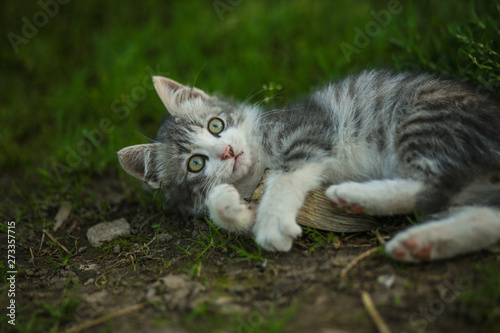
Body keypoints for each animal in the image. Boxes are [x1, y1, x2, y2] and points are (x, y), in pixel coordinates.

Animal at [118, 70, 500, 262]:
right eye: (196, 163)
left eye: (216, 125)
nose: (228, 152)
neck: (257, 164)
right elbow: (221, 206)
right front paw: (234, 208)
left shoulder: (308, 130)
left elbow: (287, 174)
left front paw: (272, 220)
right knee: (487, 216)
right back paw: (422, 242)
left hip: (424, 118)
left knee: (432, 182)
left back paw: (355, 195)